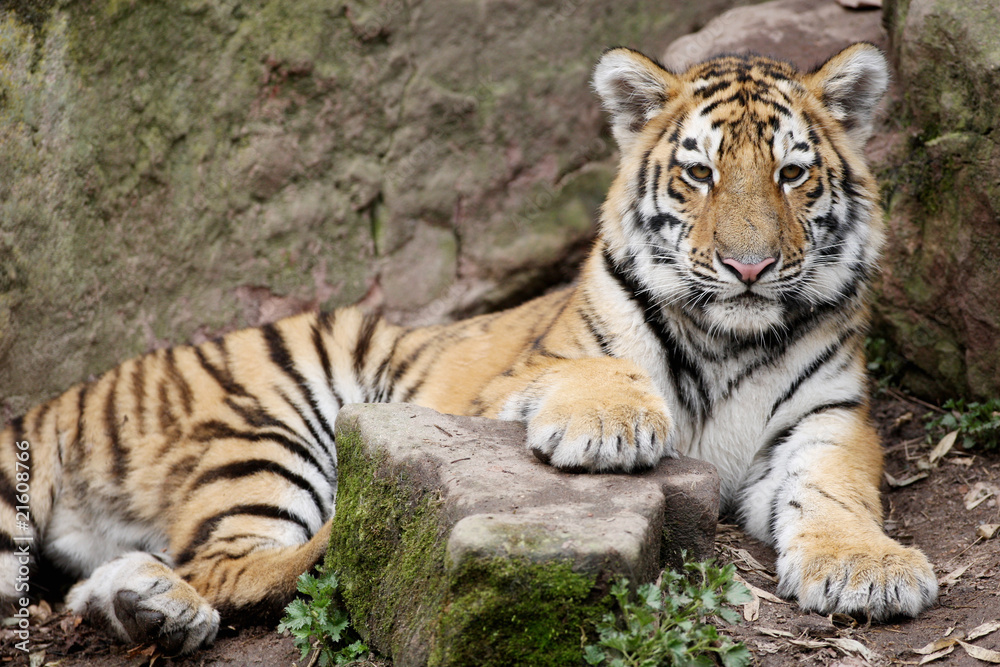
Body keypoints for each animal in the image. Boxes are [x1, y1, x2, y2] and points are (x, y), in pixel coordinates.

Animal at [1, 42, 938, 656]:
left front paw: (867, 569)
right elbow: (596, 363)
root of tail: (62, 400)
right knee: (240, 561)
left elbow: (839, 491)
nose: (749, 266)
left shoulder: (830, 417)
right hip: (270, 424)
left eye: (791, 174)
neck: (726, 337)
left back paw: (145, 605)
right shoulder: (510, 375)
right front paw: (609, 425)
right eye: (699, 174)